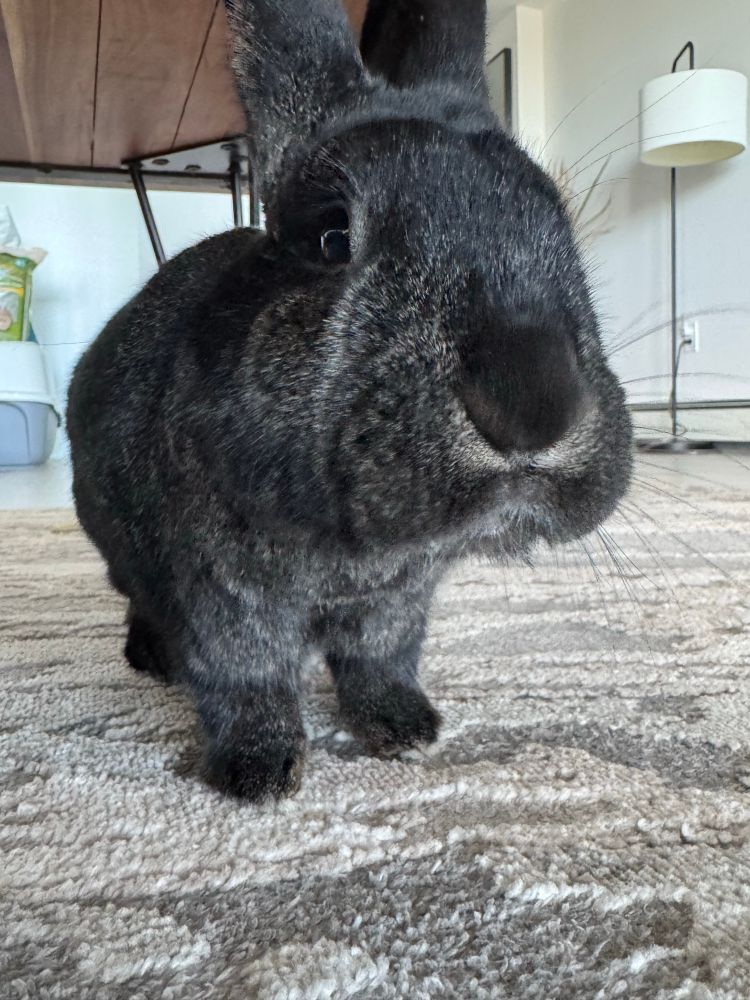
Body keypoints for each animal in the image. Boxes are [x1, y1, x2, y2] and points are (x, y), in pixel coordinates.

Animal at [66, 0, 633, 802]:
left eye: (563, 227)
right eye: (332, 235)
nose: (534, 405)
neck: (361, 552)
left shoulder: (398, 605)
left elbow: (379, 659)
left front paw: (408, 729)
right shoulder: (223, 597)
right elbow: (247, 679)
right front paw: (259, 773)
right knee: (138, 602)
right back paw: (151, 658)